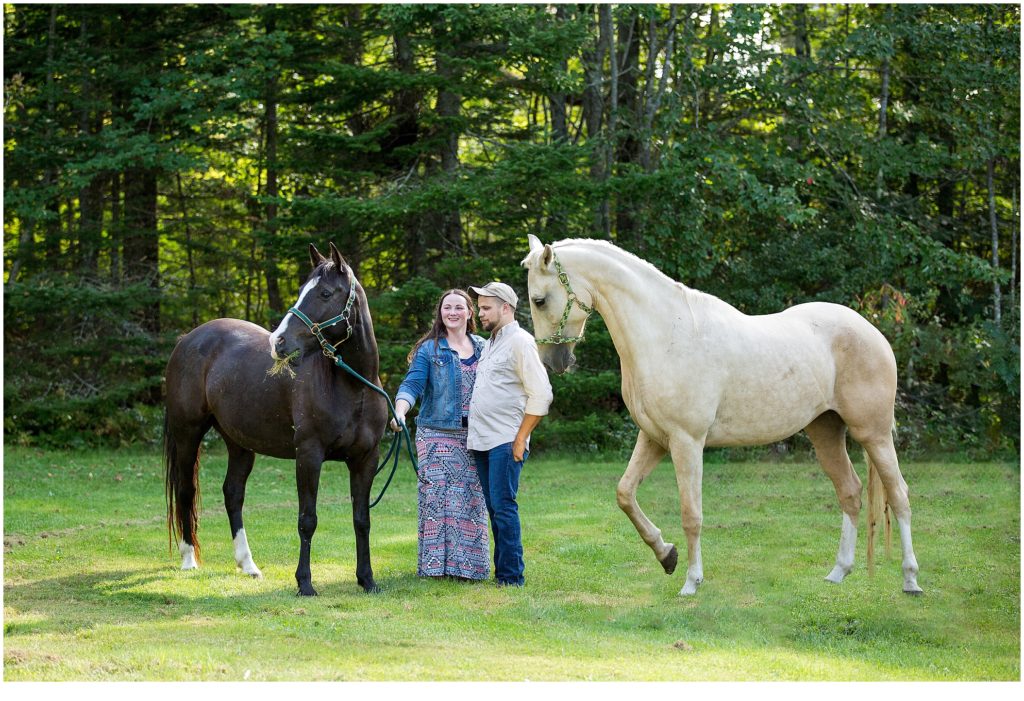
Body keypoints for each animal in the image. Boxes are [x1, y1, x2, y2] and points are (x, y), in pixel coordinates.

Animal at [163, 243, 387, 593]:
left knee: (233, 494)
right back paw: (189, 560)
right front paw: (305, 583)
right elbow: (307, 520)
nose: (279, 342)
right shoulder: (309, 455)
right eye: (301, 290)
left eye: (324, 293)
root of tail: (187, 339)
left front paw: (367, 580)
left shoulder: (366, 459)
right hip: (187, 434)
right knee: (186, 491)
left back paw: (248, 565)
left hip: (239, 443)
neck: (352, 387)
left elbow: (361, 520)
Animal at [524, 236, 925, 597]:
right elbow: (625, 494)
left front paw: (691, 581)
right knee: (850, 492)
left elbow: (692, 514)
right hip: (825, 432)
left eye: (540, 300)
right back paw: (839, 572)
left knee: (899, 496)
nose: (552, 363)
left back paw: (910, 580)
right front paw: (666, 555)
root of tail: (872, 332)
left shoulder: (687, 441)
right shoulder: (654, 438)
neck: (666, 334)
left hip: (873, 434)